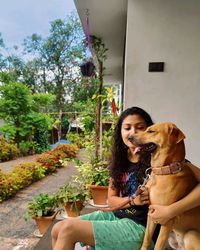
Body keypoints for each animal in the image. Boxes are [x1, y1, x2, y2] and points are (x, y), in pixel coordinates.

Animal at [130, 122, 199, 250]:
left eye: (151, 131)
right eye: (145, 129)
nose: (130, 137)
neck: (163, 171)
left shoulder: (167, 220)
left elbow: (157, 245)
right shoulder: (152, 213)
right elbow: (146, 240)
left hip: (190, 235)